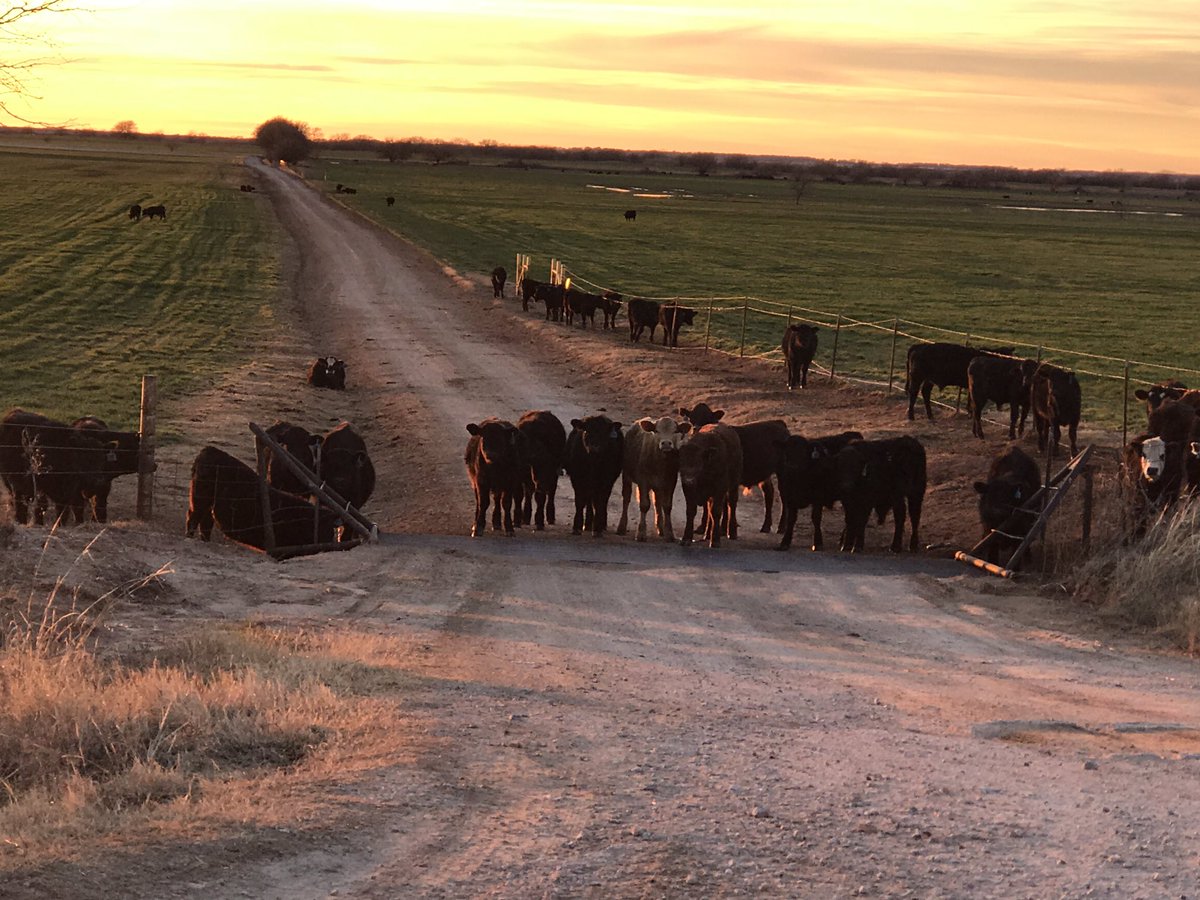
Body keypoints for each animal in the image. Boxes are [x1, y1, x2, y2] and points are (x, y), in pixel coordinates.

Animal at [185, 446, 341, 552]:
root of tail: (209, 450)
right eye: (326, 528)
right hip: (199, 500)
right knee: (193, 519)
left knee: (205, 524)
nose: (328, 545)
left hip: (207, 505)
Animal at [678, 403, 786, 533]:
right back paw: (766, 526)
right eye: (691, 418)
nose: (695, 428)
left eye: (708, 418)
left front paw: (720, 528)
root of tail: (779, 422)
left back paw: (781, 527)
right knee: (769, 493)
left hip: (783, 471)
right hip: (765, 475)